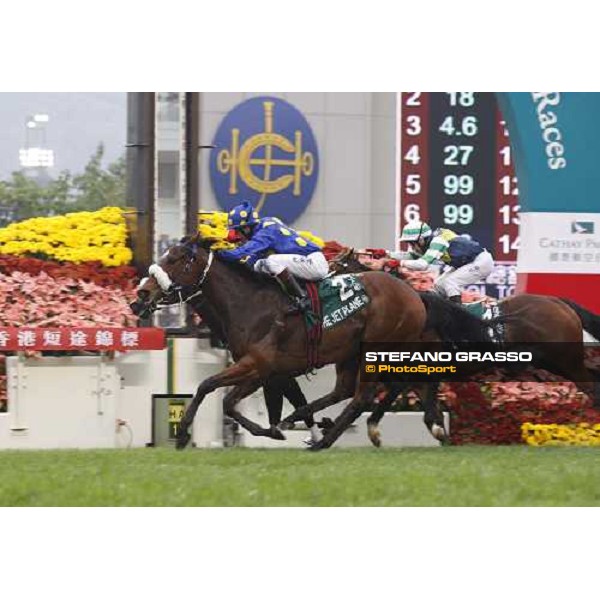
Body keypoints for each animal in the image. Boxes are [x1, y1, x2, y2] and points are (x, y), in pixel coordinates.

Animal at [132, 234, 428, 450]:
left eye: (175, 259)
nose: (141, 294)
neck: (248, 302)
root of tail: (414, 294)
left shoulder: (257, 364)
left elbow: (214, 391)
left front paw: (184, 433)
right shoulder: (267, 371)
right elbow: (227, 397)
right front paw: (274, 428)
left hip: (374, 349)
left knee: (363, 396)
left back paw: (323, 440)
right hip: (350, 353)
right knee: (345, 391)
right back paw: (310, 428)